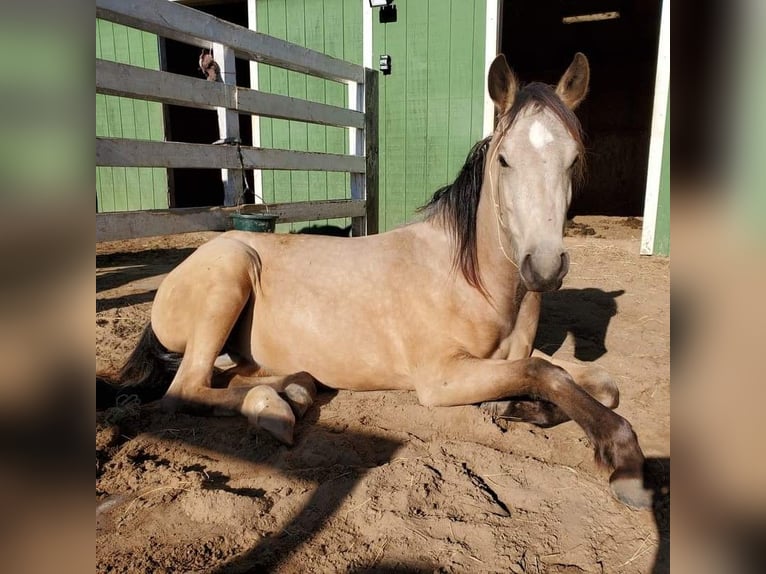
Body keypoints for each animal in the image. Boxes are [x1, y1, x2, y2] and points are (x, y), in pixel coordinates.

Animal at [112, 55, 656, 508]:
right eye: (504, 159)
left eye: (573, 159)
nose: (544, 268)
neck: (474, 283)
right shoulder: (440, 379)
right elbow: (549, 375)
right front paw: (624, 459)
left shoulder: (509, 358)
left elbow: (596, 381)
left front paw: (516, 408)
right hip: (230, 276)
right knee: (186, 389)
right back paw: (273, 410)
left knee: (237, 375)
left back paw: (292, 391)